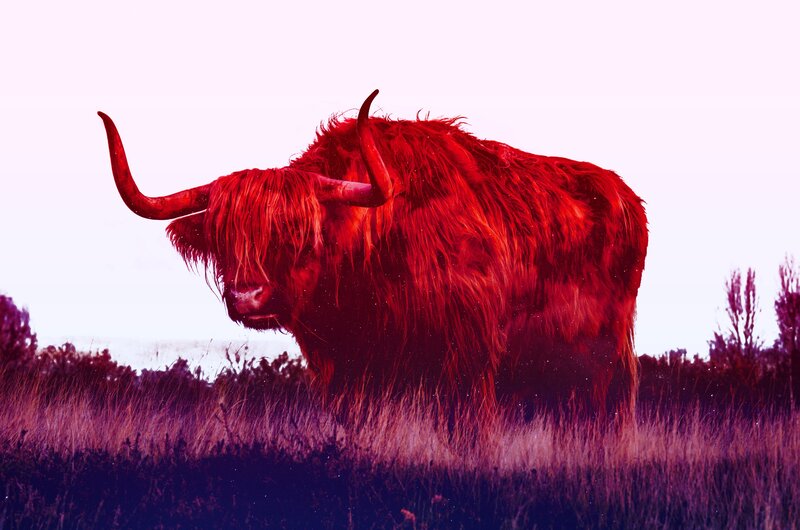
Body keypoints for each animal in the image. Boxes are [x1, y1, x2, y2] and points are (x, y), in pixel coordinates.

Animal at [99, 90, 648, 426]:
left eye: (301, 234)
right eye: (223, 236)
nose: (248, 295)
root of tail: (624, 194)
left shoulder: (468, 360)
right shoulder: (343, 372)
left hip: (605, 365)